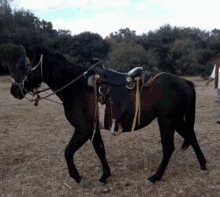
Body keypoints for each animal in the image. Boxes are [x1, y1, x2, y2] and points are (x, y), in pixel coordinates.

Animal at [9, 47, 208, 187]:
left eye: (23, 66)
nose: (13, 91)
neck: (78, 87)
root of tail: (184, 81)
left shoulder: (83, 130)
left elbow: (68, 152)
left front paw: (78, 177)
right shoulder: (93, 129)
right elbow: (100, 150)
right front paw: (104, 176)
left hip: (166, 121)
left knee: (168, 148)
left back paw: (155, 177)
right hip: (175, 121)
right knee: (191, 136)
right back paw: (203, 165)